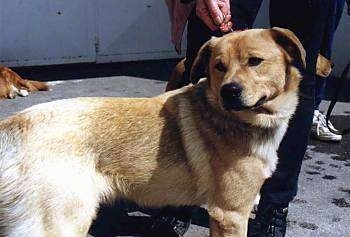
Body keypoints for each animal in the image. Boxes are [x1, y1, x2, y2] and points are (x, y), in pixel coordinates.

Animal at [0, 28, 304, 237]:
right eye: (219, 66)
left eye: (255, 61)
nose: (229, 91)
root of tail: (16, 124)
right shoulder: (230, 214)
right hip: (62, 224)